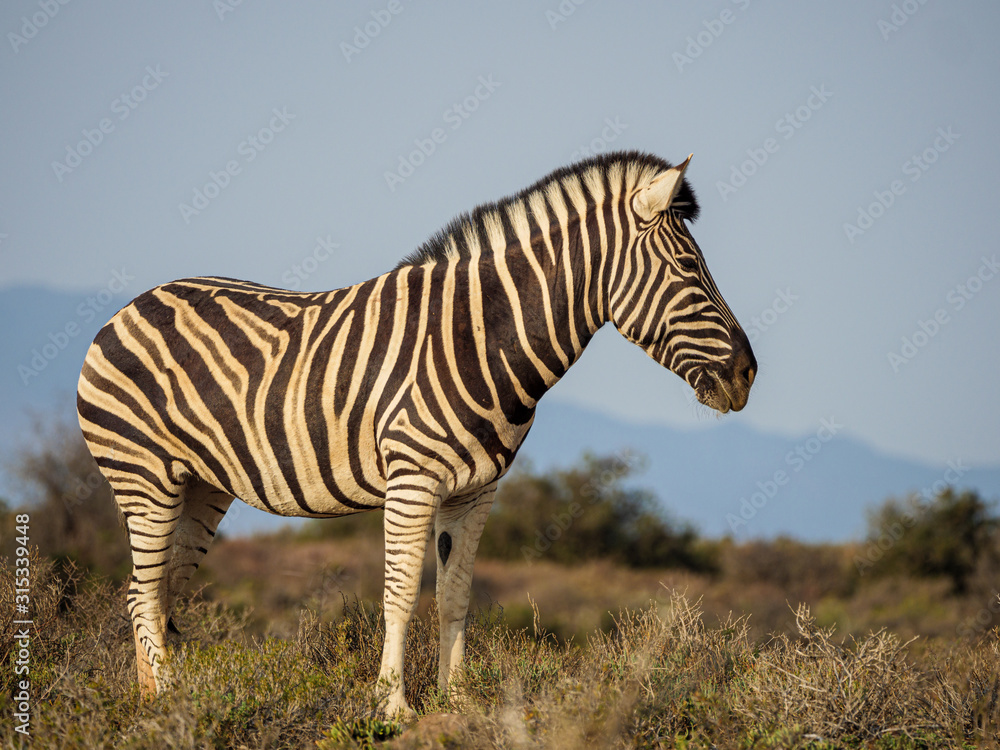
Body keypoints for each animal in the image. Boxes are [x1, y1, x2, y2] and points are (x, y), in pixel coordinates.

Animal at [76, 150, 752, 720]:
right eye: (688, 268)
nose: (748, 374)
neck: (480, 337)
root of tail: (131, 306)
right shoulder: (412, 479)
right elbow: (400, 593)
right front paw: (393, 707)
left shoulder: (477, 491)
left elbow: (455, 596)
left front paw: (457, 702)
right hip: (145, 478)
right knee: (144, 595)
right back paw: (172, 704)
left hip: (200, 486)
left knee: (156, 594)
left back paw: (154, 703)